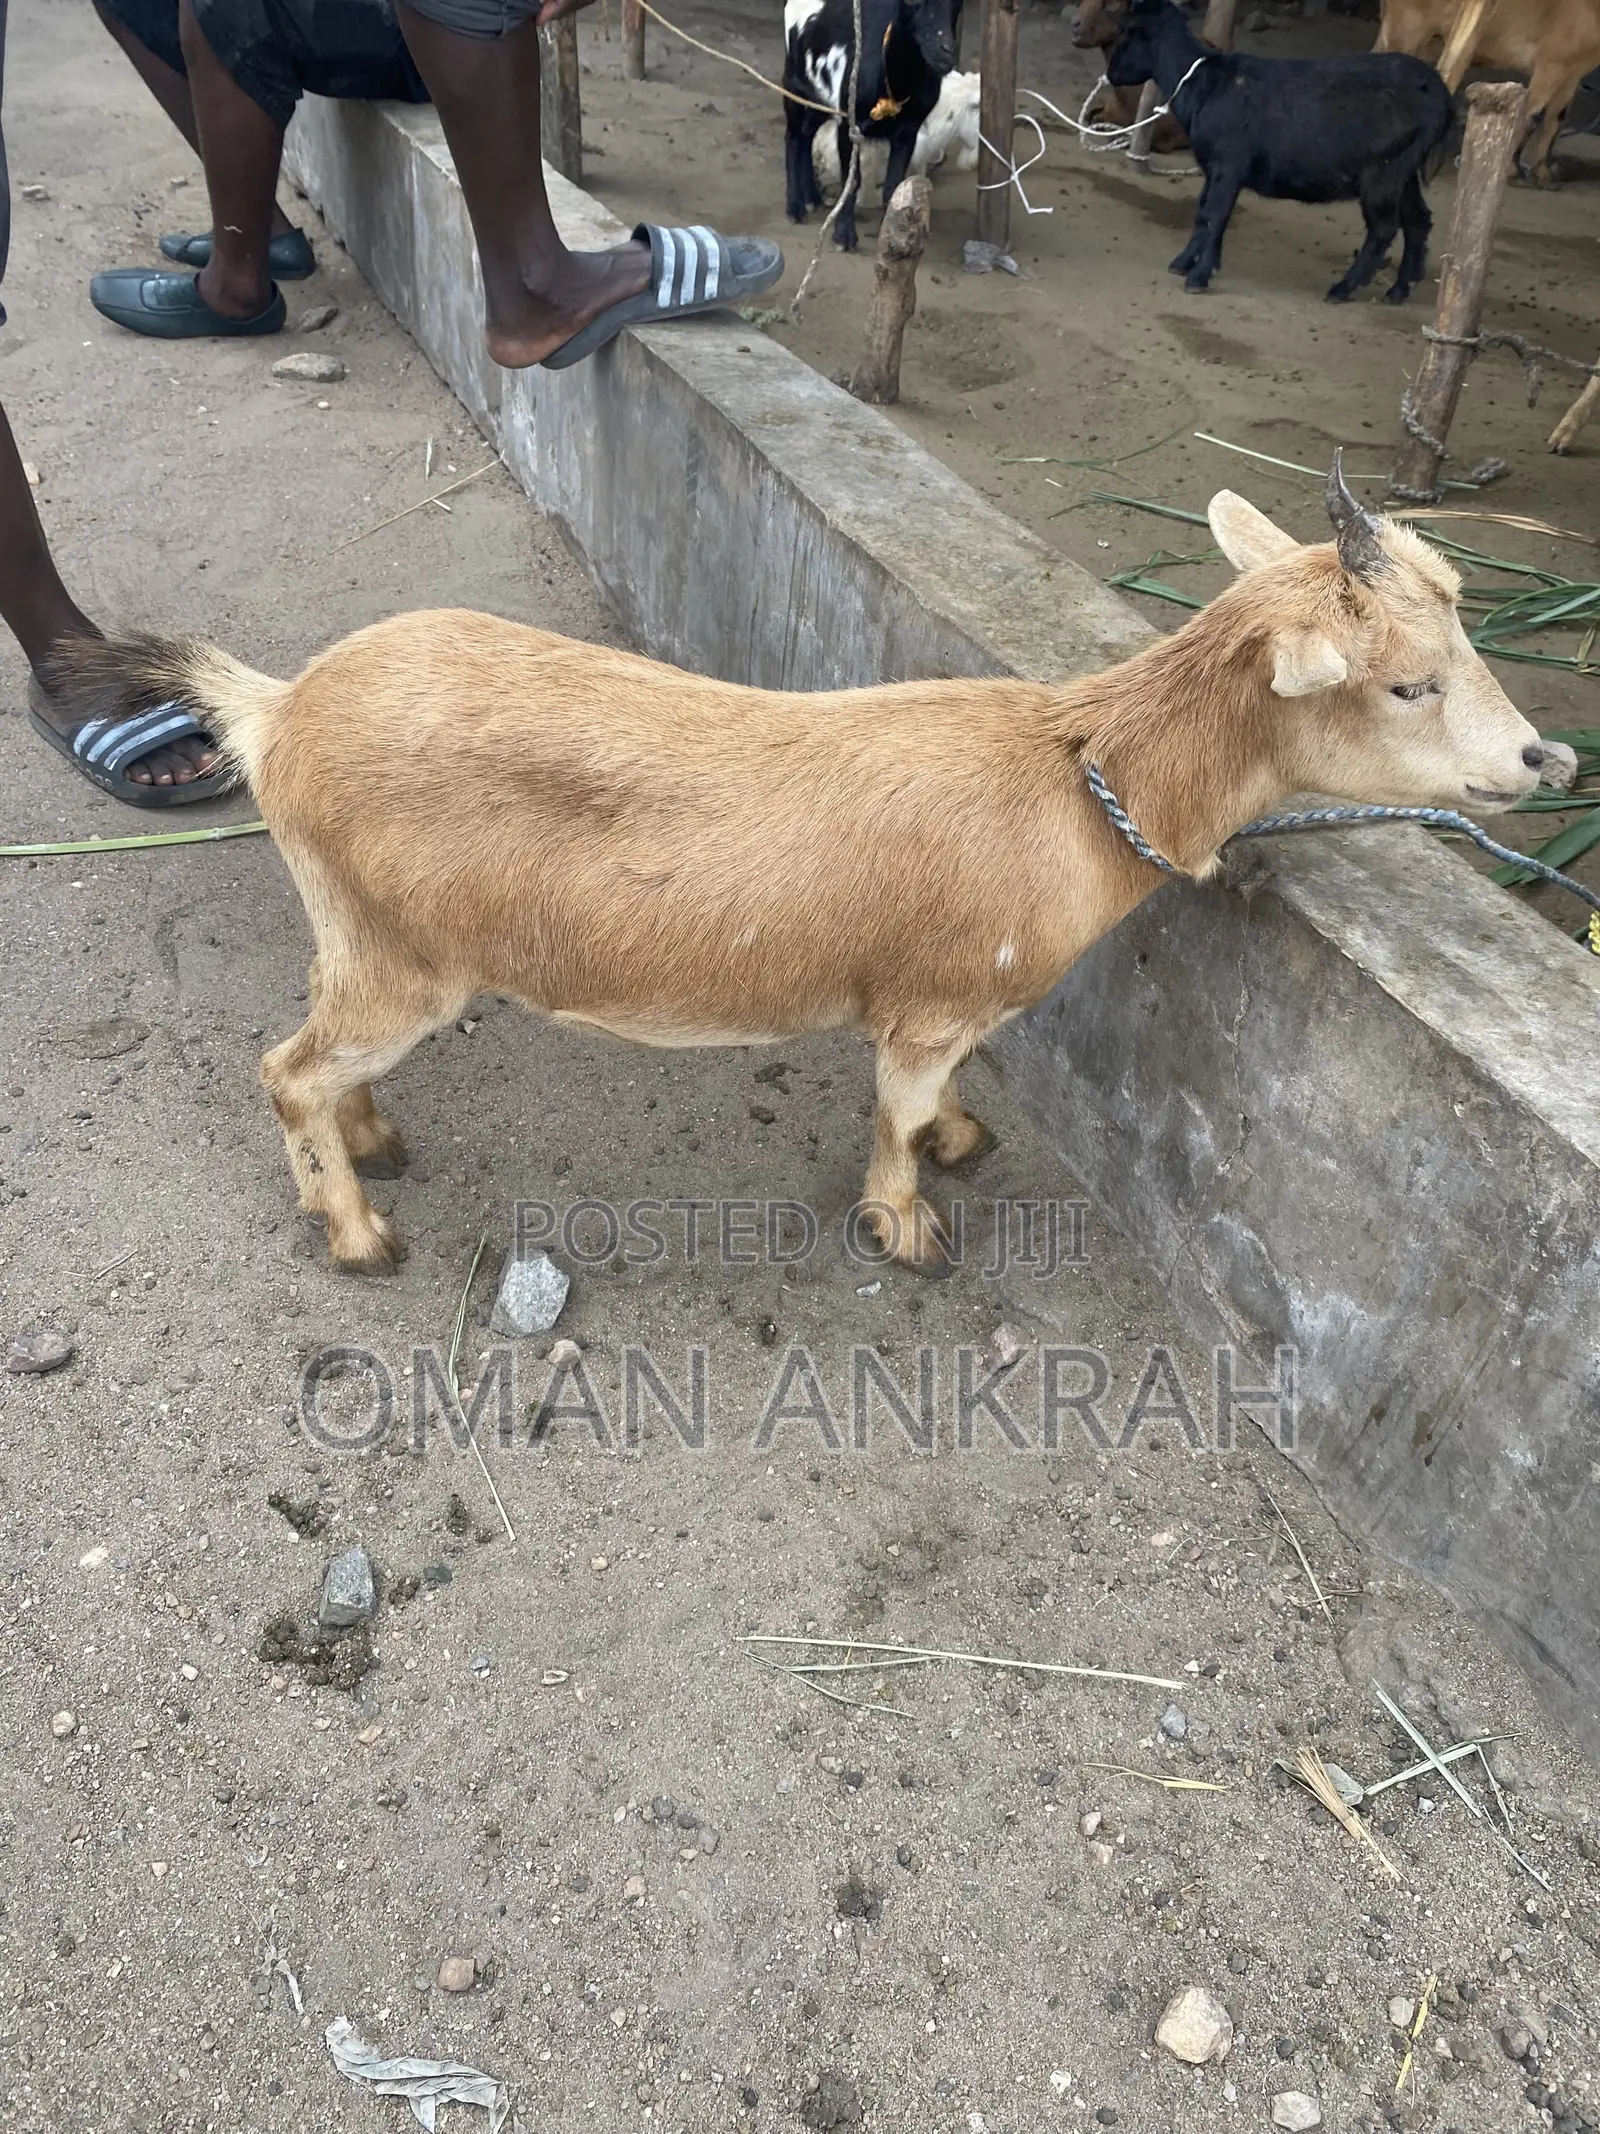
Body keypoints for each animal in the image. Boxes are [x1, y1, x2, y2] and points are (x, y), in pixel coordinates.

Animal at [45, 468, 1545, 1276]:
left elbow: (942, 1103)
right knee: (286, 1068)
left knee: (318, 1046)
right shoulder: (931, 1004)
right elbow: (896, 1108)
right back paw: (355, 1231)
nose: (1542, 756)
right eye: (1409, 681)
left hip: (357, 928)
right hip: (411, 960)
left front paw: (960, 1144)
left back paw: (370, 1145)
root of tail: (276, 708)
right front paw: (909, 1221)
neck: (1076, 771)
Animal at [785, 0, 962, 248]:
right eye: (913, 2)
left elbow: (894, 183)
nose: (946, 51)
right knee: (793, 136)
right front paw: (844, 236)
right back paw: (795, 207)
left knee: (806, 135)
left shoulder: (909, 130)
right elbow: (852, 180)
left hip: (819, 98)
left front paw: (895, 234)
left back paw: (813, 198)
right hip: (794, 83)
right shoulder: (849, 122)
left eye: (958, 4)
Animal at [1108, 0, 1453, 299]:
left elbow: (1214, 215)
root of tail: (1438, 90)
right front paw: (1186, 263)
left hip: (1383, 172)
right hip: (1404, 170)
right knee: (1418, 221)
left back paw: (1343, 288)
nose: (1111, 73)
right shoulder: (1216, 167)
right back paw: (1399, 289)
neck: (1203, 83)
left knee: (1384, 227)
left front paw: (1199, 275)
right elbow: (1204, 212)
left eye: (1129, 31)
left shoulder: (1229, 165)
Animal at [1376, 0, 1600, 183]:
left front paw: (1543, 172)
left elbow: (1556, 119)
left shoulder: (1572, 73)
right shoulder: (1550, 66)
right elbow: (1531, 114)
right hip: (1408, 31)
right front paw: (1512, 169)